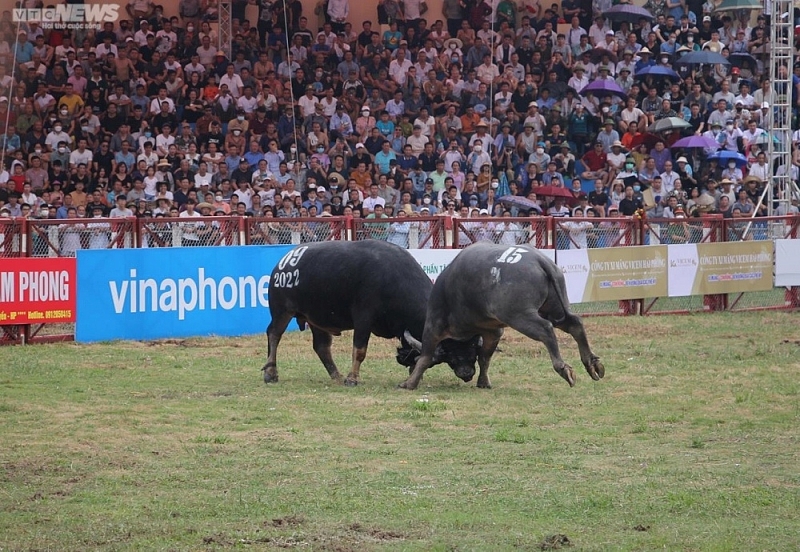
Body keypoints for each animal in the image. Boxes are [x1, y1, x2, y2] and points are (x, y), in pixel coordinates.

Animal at [260, 239, 482, 386]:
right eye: (451, 353)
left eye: (473, 350)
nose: (467, 372)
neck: (391, 278)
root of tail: (282, 262)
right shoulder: (363, 319)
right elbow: (360, 350)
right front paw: (353, 378)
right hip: (281, 311)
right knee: (274, 334)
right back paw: (271, 373)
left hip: (316, 319)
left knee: (321, 346)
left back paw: (336, 376)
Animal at [400, 244, 608, 390]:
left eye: (452, 359)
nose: (466, 373)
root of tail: (540, 260)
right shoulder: (493, 331)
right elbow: (485, 357)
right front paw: (483, 382)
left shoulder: (433, 325)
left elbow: (425, 356)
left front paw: (409, 383)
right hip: (554, 308)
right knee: (574, 323)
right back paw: (592, 363)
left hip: (519, 316)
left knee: (546, 329)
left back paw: (564, 368)